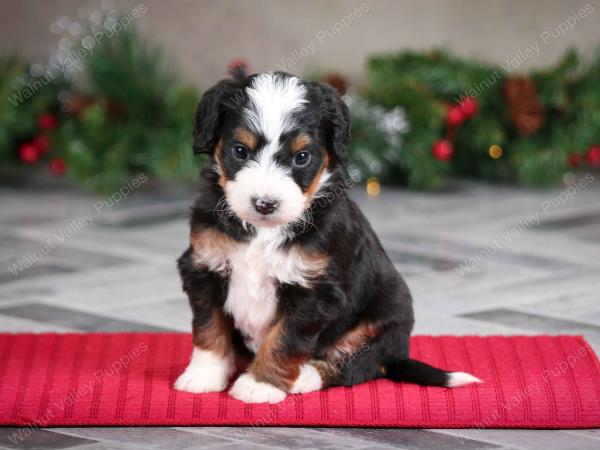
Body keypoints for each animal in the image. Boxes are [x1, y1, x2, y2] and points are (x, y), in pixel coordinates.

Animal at [173, 70, 482, 404]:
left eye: (302, 157)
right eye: (240, 151)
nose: (265, 204)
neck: (264, 231)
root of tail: (397, 354)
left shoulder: (315, 290)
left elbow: (285, 339)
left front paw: (261, 384)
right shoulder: (205, 265)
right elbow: (209, 327)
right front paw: (203, 375)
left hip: (382, 323)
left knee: (352, 366)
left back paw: (303, 377)